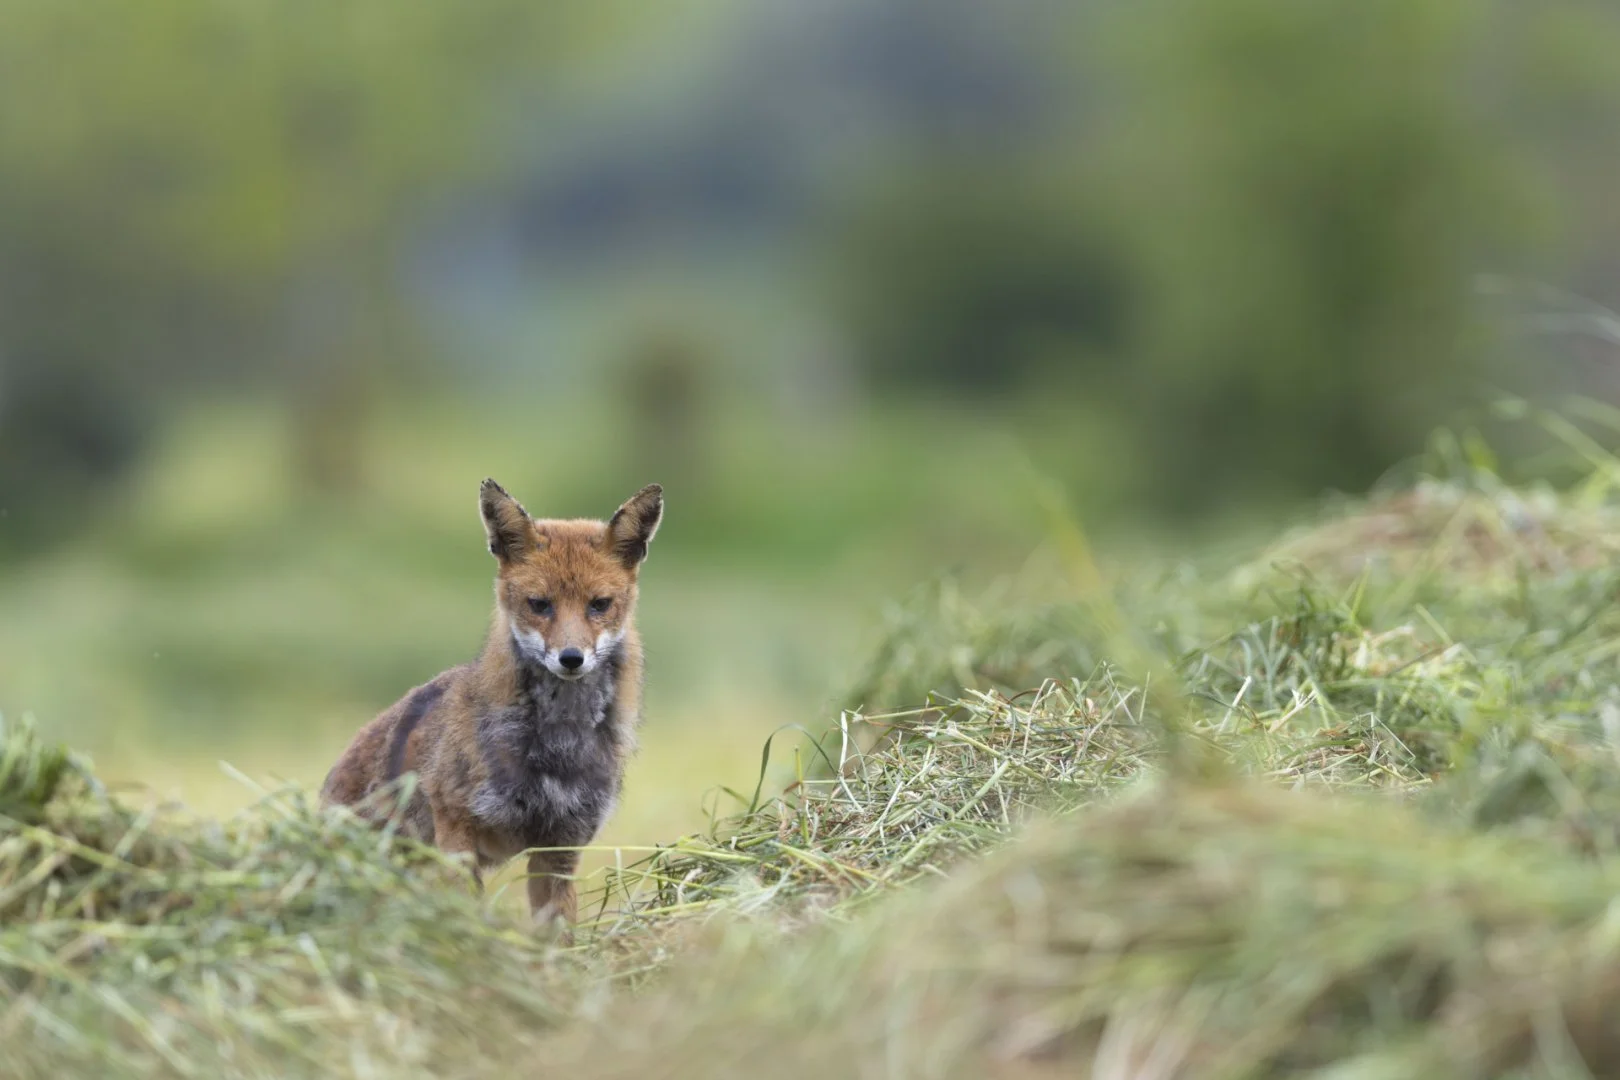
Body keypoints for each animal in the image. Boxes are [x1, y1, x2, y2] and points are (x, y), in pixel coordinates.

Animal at [319, 479, 663, 930]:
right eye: (540, 604)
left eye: (599, 605)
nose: (571, 658)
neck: (558, 743)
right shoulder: (457, 830)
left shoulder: (560, 847)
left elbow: (557, 935)